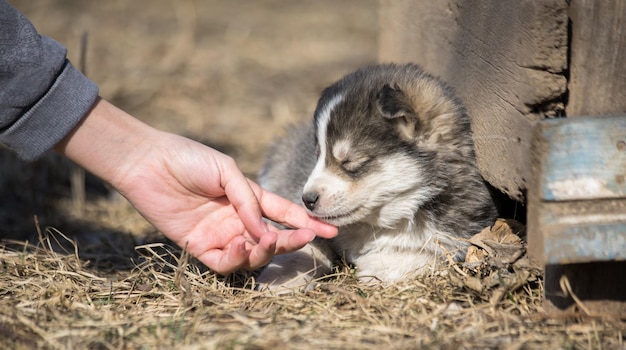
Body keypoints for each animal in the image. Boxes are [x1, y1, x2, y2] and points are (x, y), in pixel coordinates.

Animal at [256, 63, 494, 292]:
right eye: (318, 156)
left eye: (350, 161)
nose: (307, 199)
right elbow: (307, 241)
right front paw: (284, 276)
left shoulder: (456, 234)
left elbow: (422, 255)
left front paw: (378, 266)